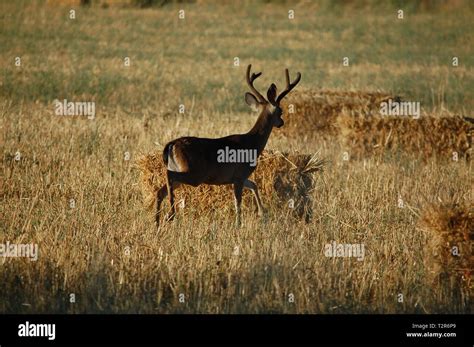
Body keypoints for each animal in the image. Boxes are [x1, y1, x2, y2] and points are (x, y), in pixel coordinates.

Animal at [157, 65, 302, 228]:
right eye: (281, 111)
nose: (281, 122)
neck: (252, 144)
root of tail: (171, 144)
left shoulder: (240, 176)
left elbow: (254, 185)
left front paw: (262, 213)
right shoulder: (239, 175)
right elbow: (237, 202)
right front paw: (239, 224)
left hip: (181, 171)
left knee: (160, 191)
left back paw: (157, 221)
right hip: (194, 172)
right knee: (168, 176)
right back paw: (170, 214)